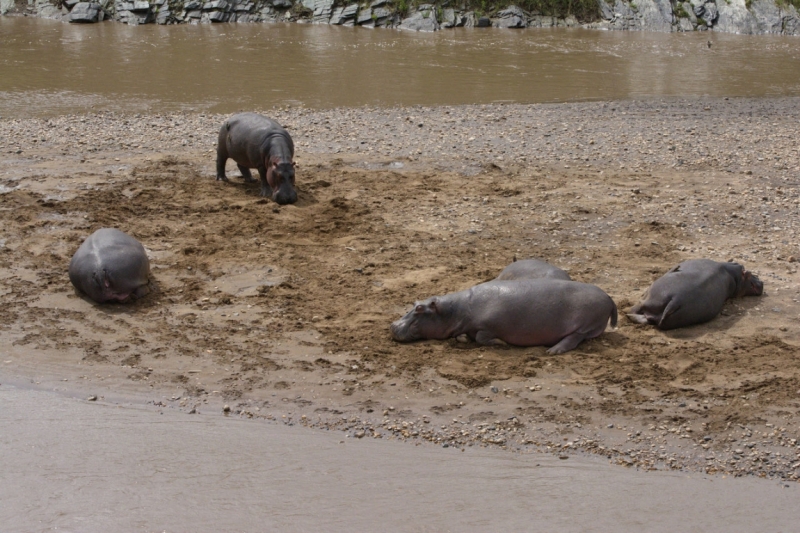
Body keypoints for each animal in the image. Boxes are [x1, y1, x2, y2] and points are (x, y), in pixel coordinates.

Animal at [390, 278, 616, 354]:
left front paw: (501, 343)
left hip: (585, 324)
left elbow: (482, 337)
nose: (393, 325)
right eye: (414, 303)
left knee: (574, 338)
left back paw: (552, 351)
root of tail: (609, 297)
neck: (455, 309)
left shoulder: (488, 325)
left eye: (419, 309)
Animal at [624, 258, 764, 328]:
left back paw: (626, 312)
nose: (761, 283)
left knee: (637, 310)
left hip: (652, 297)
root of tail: (676, 301)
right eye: (749, 274)